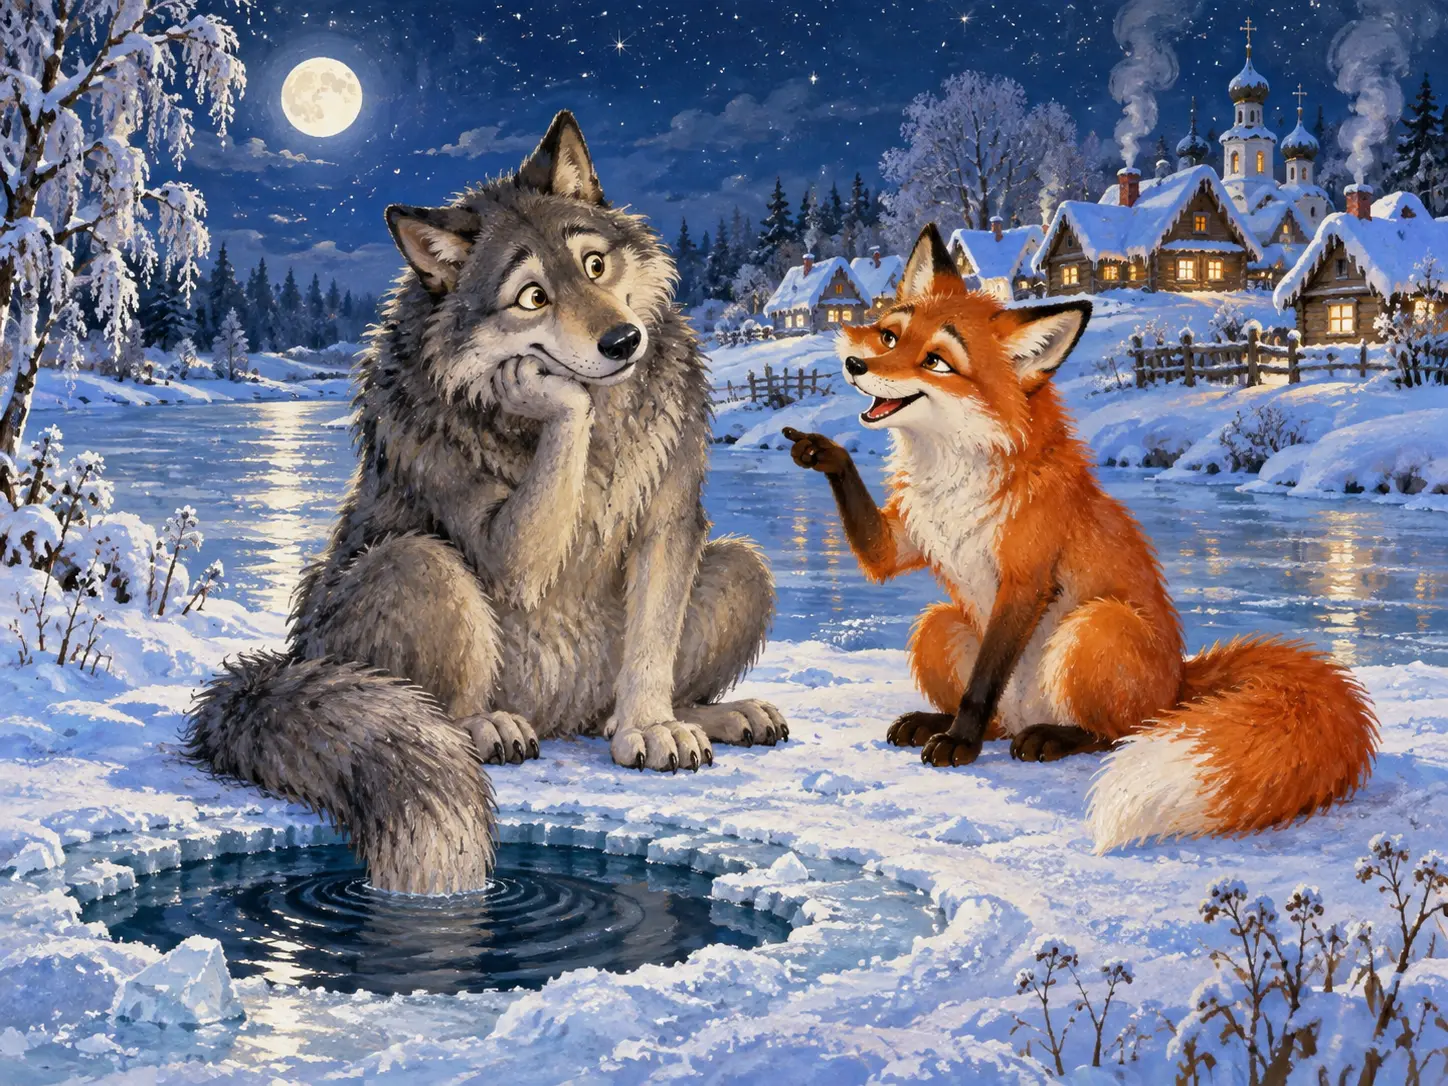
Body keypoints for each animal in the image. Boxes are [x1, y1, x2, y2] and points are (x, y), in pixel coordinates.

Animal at [184, 111, 787, 895]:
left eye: (595, 267)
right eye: (532, 297)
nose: (624, 339)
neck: (598, 424)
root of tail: (289, 664)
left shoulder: (671, 521)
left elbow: (652, 645)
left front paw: (651, 729)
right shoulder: (498, 539)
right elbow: (514, 539)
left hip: (745, 567)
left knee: (617, 701)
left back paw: (713, 716)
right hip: (413, 569)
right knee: (437, 682)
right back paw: (484, 728)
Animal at [784, 224, 1378, 851]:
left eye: (937, 362)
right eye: (890, 334)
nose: (854, 362)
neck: (951, 478)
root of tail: (1180, 683)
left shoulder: (1026, 576)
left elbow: (983, 682)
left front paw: (961, 743)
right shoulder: (903, 540)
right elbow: (881, 556)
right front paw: (822, 450)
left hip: (1096, 626)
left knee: (1116, 732)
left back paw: (1049, 738)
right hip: (937, 626)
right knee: (1003, 716)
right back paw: (939, 722)